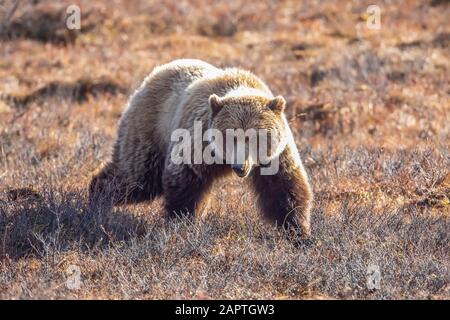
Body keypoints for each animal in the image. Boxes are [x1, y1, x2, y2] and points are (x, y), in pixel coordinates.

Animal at [88, 59, 312, 235]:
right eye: (230, 136)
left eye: (256, 137)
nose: (240, 167)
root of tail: (153, 75)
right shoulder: (197, 141)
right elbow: (186, 181)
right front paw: (183, 222)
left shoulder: (276, 155)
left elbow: (285, 187)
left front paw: (298, 231)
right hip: (150, 127)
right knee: (137, 177)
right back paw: (98, 197)